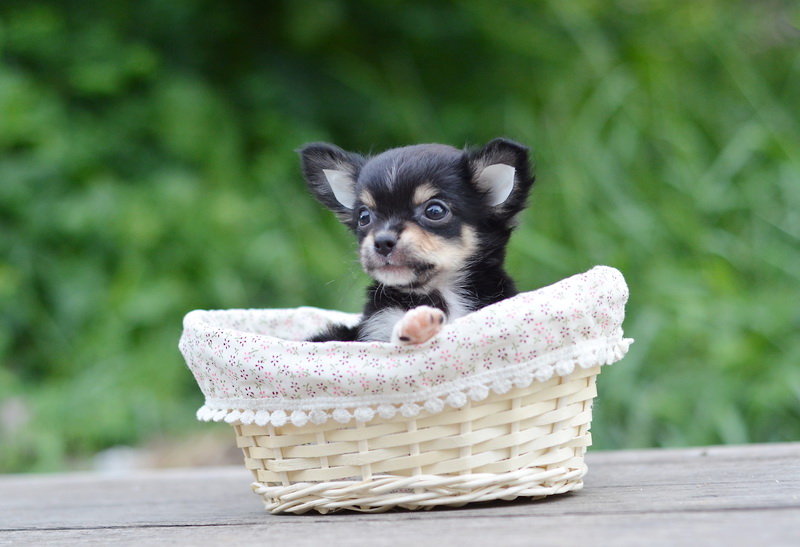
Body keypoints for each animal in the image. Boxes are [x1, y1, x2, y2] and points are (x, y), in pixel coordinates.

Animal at [299, 138, 534, 344]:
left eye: (435, 211)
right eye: (364, 217)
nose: (382, 242)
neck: (442, 292)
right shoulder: (379, 326)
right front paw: (417, 325)